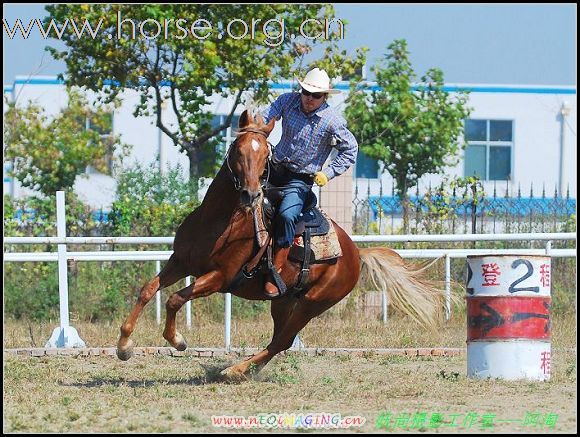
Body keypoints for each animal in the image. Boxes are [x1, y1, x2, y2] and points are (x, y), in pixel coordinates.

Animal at [118, 107, 444, 376]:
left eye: (266, 156)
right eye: (237, 150)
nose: (250, 194)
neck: (217, 221)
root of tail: (355, 252)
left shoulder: (219, 278)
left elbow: (175, 298)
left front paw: (177, 340)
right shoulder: (180, 262)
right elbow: (148, 290)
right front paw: (124, 345)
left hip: (314, 303)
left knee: (283, 341)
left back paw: (236, 370)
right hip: (284, 301)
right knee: (279, 339)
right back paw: (245, 369)